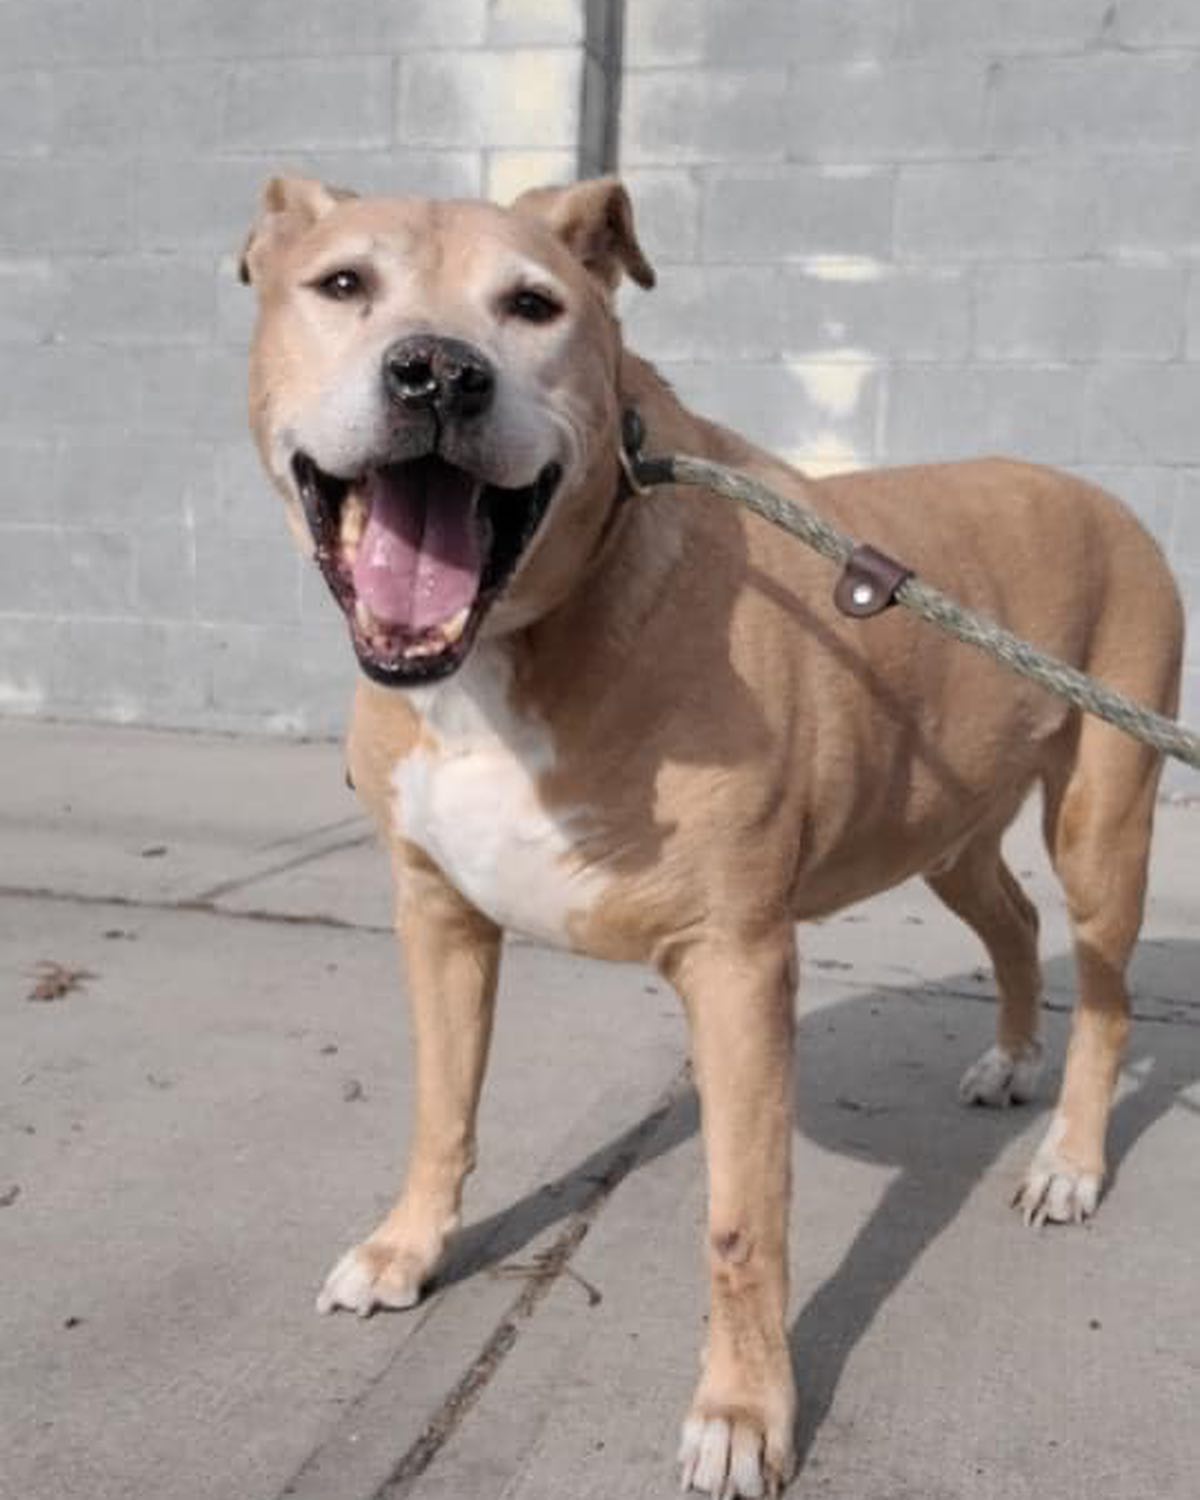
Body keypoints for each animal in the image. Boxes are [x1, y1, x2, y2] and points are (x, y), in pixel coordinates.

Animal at [241, 174, 1184, 1497]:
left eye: (532, 306)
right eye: (341, 285)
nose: (436, 373)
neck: (509, 648)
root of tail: (1096, 490)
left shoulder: (738, 964)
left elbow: (743, 1223)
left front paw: (742, 1414)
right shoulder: (438, 915)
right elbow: (441, 1111)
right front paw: (407, 1251)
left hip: (1105, 819)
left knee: (1103, 993)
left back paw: (1071, 1160)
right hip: (945, 828)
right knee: (1010, 920)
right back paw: (1008, 1060)